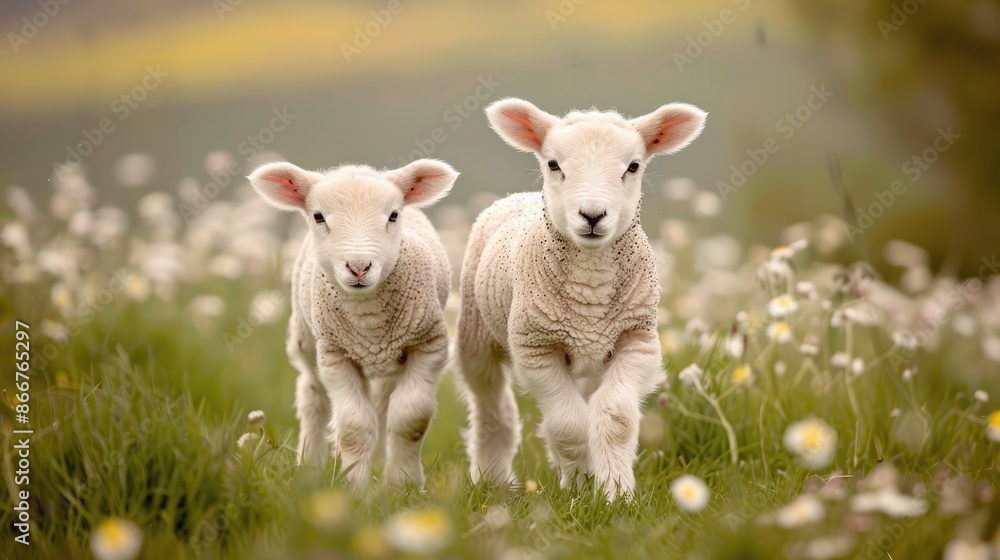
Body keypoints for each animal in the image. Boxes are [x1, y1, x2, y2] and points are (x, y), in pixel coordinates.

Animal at [248, 158, 458, 490]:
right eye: (318, 216)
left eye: (394, 215)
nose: (359, 267)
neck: (369, 322)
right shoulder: (335, 356)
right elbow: (354, 428)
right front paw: (353, 488)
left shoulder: (429, 345)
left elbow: (410, 419)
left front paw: (403, 484)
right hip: (307, 342)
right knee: (313, 397)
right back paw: (310, 467)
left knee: (383, 403)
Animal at [456, 98, 706, 500]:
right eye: (553, 164)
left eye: (633, 166)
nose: (592, 215)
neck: (590, 290)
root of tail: (519, 197)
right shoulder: (536, 348)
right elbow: (568, 423)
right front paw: (578, 485)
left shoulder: (637, 340)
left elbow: (615, 417)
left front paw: (616, 492)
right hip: (476, 336)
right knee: (491, 407)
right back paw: (492, 478)